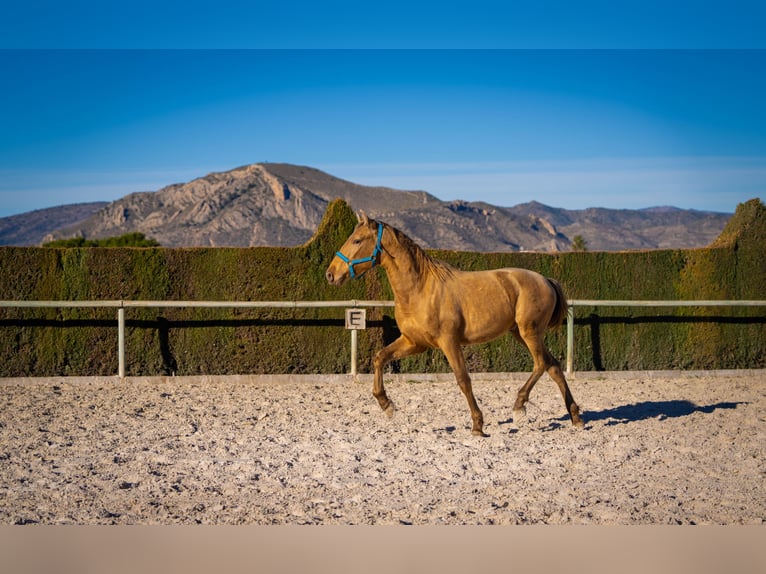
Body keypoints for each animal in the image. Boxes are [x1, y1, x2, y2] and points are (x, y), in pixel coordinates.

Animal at [328, 214, 584, 438]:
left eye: (357, 240)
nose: (330, 274)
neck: (420, 288)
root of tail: (546, 280)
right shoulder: (414, 342)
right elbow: (380, 357)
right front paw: (386, 404)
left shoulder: (449, 342)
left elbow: (463, 380)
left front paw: (478, 426)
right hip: (521, 334)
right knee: (553, 366)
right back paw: (576, 418)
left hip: (529, 332)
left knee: (541, 364)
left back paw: (519, 406)